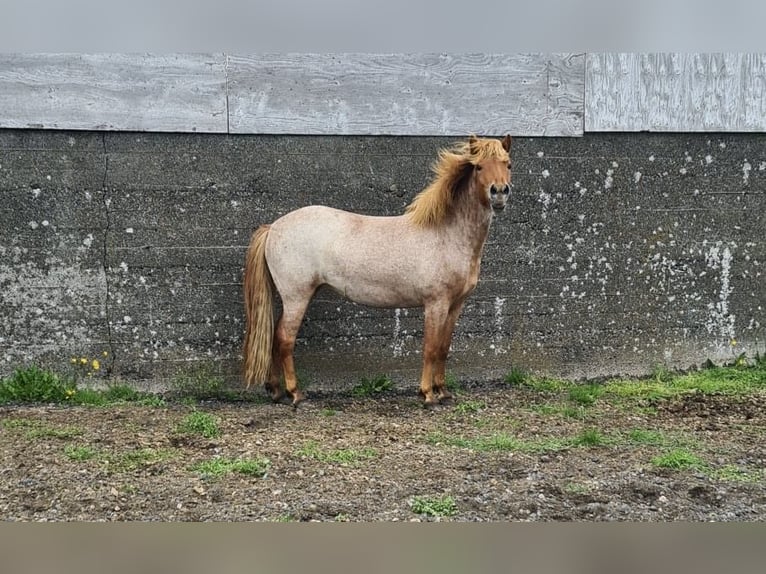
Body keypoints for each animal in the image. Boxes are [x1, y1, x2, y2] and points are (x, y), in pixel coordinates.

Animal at [243, 135, 512, 406]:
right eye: (478, 167)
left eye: (508, 164)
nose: (499, 192)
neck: (446, 234)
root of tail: (273, 228)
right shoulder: (435, 303)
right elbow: (430, 348)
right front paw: (428, 394)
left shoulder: (455, 304)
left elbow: (444, 348)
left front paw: (443, 392)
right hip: (296, 297)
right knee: (284, 340)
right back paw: (296, 393)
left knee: (274, 339)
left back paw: (276, 390)